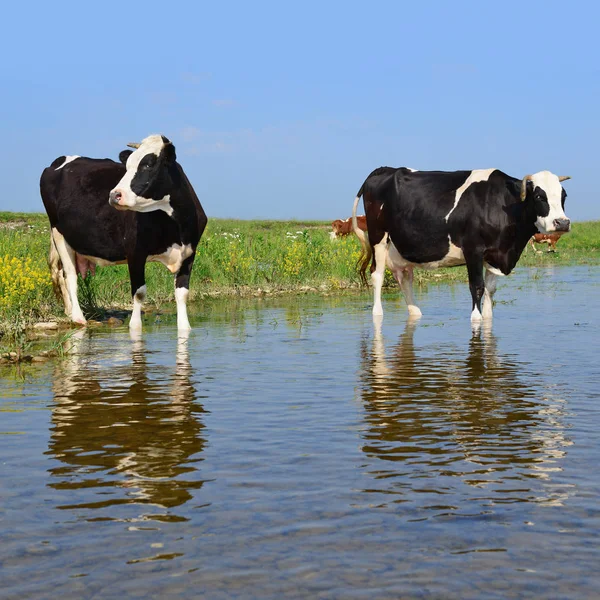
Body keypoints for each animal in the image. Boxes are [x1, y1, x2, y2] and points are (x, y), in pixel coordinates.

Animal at [41, 134, 207, 330]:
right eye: (127, 166)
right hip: (59, 234)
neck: (176, 225)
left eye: (148, 164)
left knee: (61, 274)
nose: (114, 195)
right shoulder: (135, 252)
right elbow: (139, 293)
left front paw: (184, 327)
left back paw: (68, 311)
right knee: (70, 276)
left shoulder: (189, 254)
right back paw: (77, 317)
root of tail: (60, 160)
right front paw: (135, 327)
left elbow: (182, 294)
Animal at [352, 166, 572, 326]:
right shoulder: (473, 250)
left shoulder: (495, 254)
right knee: (377, 275)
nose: (562, 222)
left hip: (401, 249)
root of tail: (384, 169)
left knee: (405, 278)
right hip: (379, 239)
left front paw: (487, 319)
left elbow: (491, 290)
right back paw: (377, 313)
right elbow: (477, 286)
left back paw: (415, 312)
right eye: (539, 196)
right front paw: (476, 318)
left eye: (563, 196)